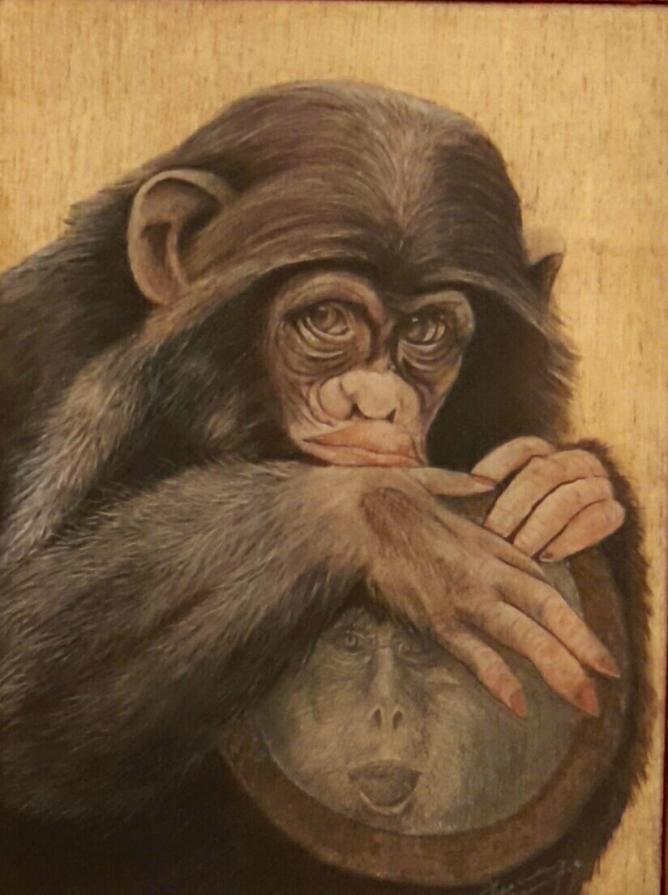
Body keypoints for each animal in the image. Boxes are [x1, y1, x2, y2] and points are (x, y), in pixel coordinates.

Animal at [0, 82, 649, 894]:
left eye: (428, 332)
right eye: (327, 319)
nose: (377, 402)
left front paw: (571, 489)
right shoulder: (71, 380)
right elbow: (17, 666)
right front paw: (386, 522)